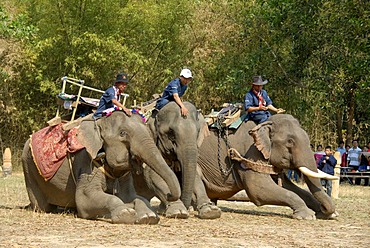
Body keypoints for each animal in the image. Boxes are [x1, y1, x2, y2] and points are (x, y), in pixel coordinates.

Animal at [21, 111, 181, 224]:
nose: (169, 195)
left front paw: (148, 216)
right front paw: (126, 213)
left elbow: (132, 196)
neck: (98, 122)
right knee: (42, 206)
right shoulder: (86, 163)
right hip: (29, 169)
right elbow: (84, 199)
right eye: (123, 133)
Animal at [198, 113, 340, 220]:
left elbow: (289, 187)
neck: (265, 123)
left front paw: (331, 215)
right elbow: (258, 190)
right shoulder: (251, 153)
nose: (322, 209)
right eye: (290, 141)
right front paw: (307, 216)